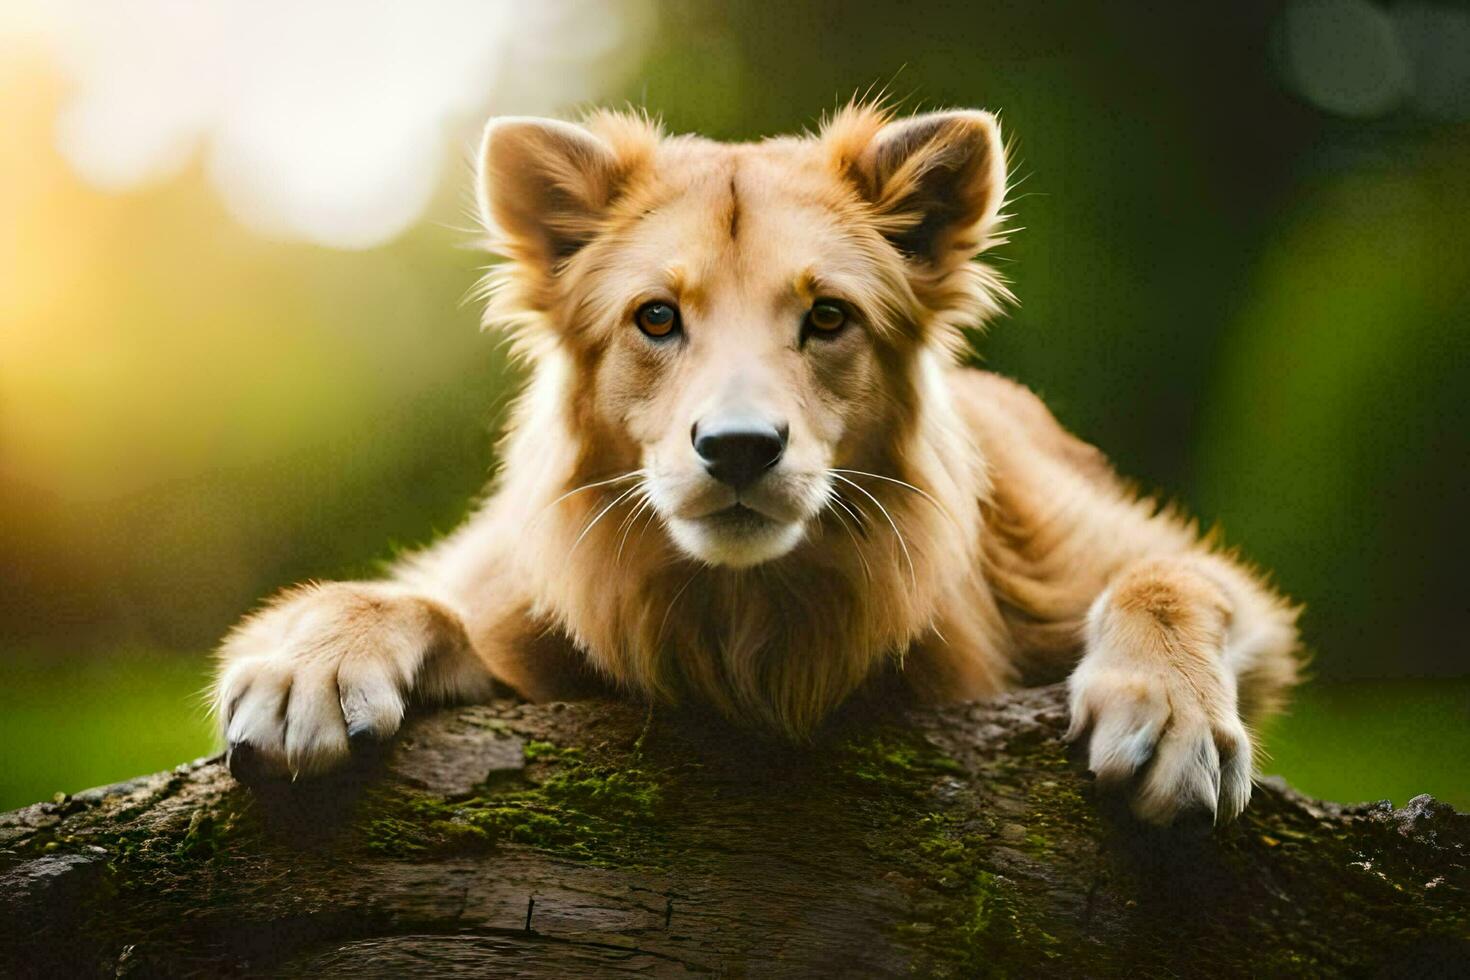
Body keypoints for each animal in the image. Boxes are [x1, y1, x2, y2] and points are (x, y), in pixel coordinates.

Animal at [210, 103, 1299, 828]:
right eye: (656, 317)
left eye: (828, 317)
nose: (738, 448)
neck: (745, 621)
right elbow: (404, 598)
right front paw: (314, 667)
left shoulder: (1102, 563)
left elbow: (1170, 578)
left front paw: (1170, 711)